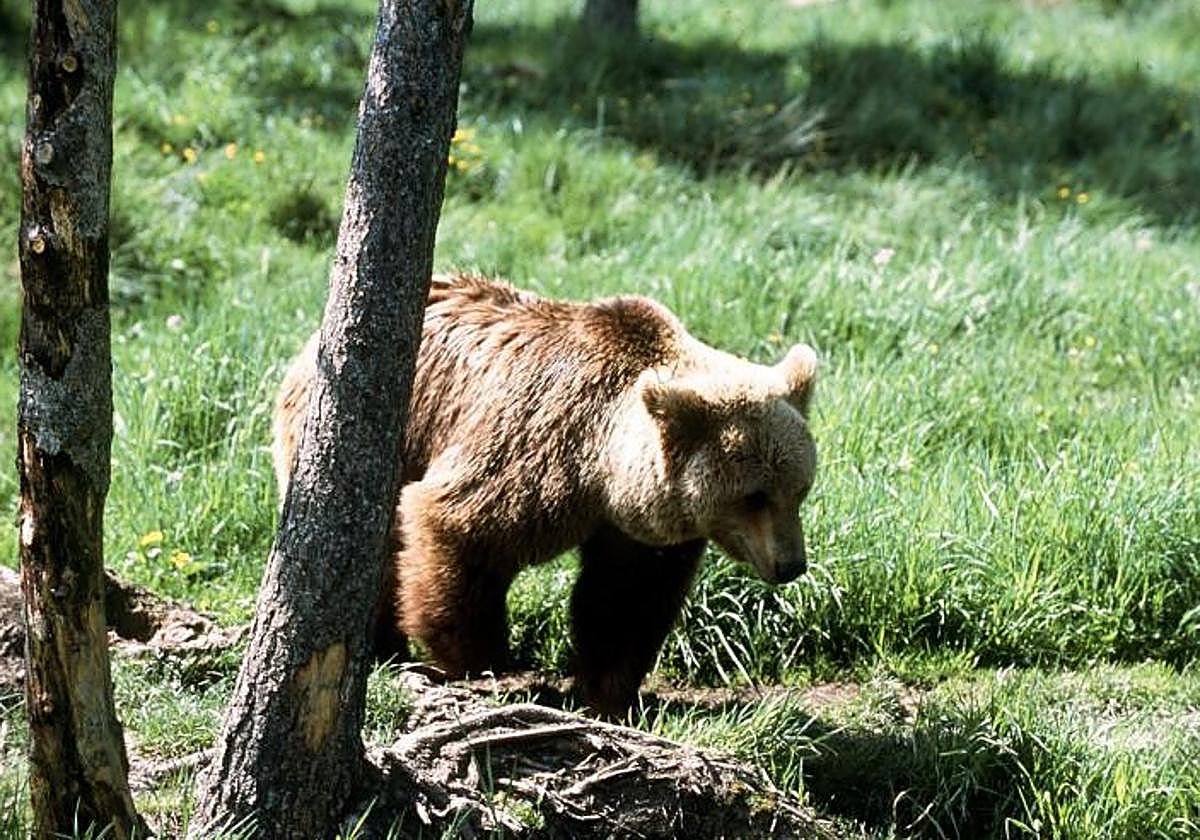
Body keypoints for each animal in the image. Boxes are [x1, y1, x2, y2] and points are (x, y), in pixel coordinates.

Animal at [272, 273, 819, 716]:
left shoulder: (638, 528)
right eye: (753, 496)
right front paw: (481, 658)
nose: (791, 564)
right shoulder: (536, 448)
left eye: (800, 489)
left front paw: (608, 691)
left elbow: (625, 598)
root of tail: (310, 345)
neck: (602, 469)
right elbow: (454, 525)